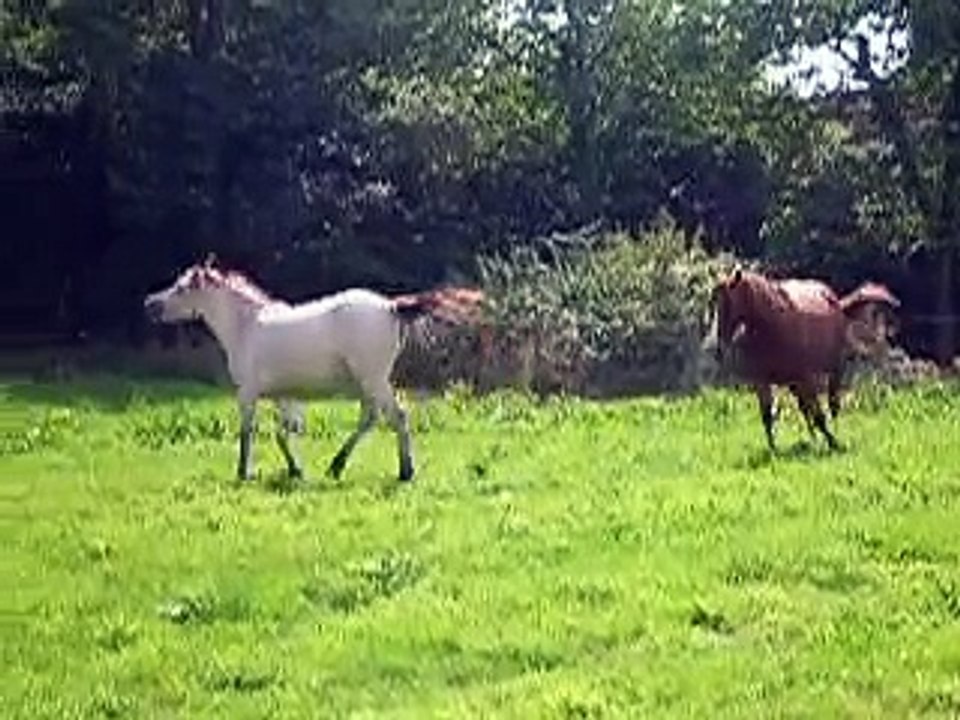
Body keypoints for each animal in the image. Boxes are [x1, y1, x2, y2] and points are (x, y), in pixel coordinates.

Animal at [143, 258, 457, 483]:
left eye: (182, 288)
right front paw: (295, 470)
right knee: (370, 420)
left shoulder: (247, 393)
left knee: (398, 417)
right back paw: (336, 467)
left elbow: (248, 431)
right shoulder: (284, 396)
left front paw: (243, 473)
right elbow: (284, 433)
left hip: (374, 381)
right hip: (368, 385)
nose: (150, 305)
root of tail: (391, 307)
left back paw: (405, 472)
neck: (247, 327)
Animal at [712, 266, 900, 451]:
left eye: (729, 303)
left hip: (834, 370)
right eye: (716, 301)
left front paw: (833, 442)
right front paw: (774, 450)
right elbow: (767, 416)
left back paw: (832, 433)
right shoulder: (763, 382)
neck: (773, 326)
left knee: (832, 405)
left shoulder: (807, 378)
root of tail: (835, 302)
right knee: (806, 408)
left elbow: (819, 415)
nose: (720, 347)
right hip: (796, 384)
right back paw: (814, 440)